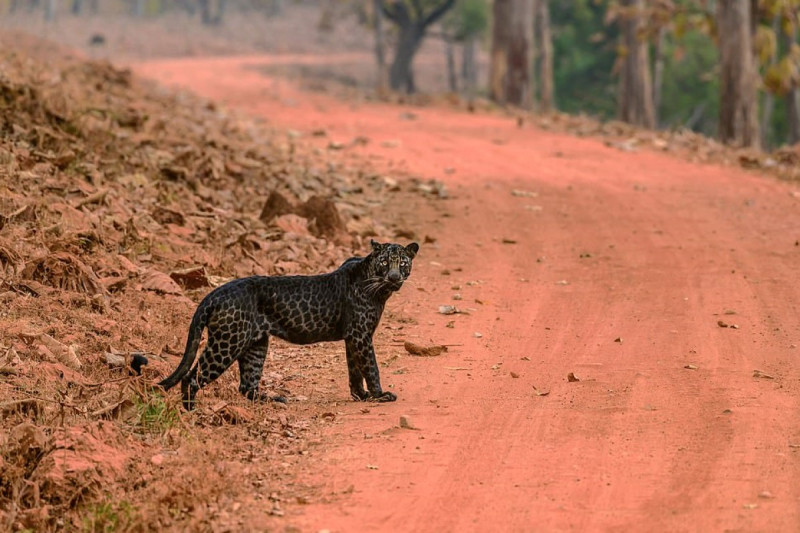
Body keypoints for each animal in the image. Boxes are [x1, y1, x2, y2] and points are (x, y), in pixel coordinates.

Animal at [153, 239, 422, 410]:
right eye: (385, 262)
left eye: (403, 263)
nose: (394, 277)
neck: (378, 287)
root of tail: (215, 293)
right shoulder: (360, 335)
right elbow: (371, 366)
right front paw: (379, 395)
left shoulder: (353, 338)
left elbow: (354, 369)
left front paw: (361, 395)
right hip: (228, 342)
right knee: (192, 377)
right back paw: (192, 412)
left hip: (256, 345)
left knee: (246, 386)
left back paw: (275, 400)